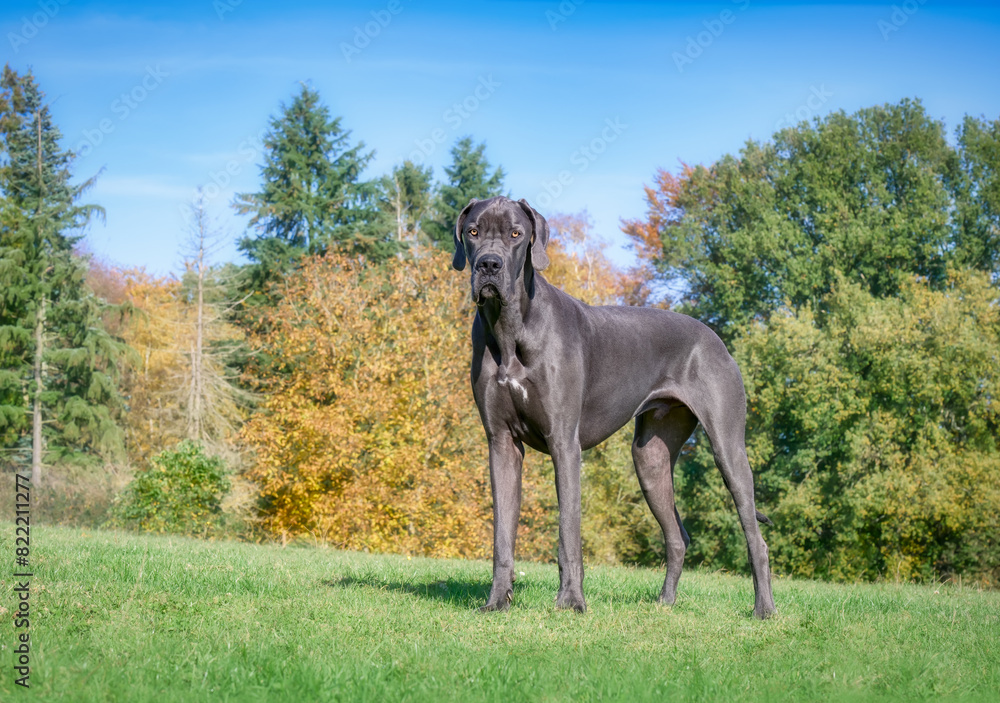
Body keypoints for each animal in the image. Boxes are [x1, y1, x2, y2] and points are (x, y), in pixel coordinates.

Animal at [452, 195, 772, 620]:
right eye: (473, 232)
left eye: (516, 234)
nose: (489, 265)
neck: (509, 327)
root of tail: (713, 335)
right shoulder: (501, 443)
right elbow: (502, 535)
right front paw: (496, 601)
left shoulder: (564, 443)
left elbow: (568, 532)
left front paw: (571, 602)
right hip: (650, 458)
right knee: (677, 537)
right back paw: (665, 604)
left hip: (728, 448)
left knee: (756, 538)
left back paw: (764, 610)